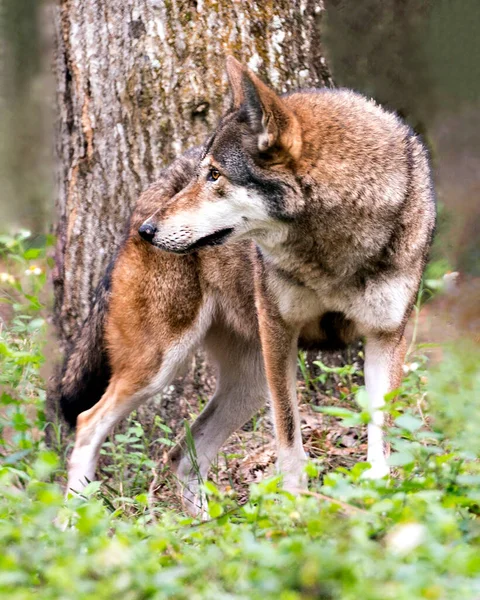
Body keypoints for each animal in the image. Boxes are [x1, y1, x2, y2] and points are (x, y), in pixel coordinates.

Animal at [60, 57, 436, 516]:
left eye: (215, 175)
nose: (149, 231)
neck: (332, 254)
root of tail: (148, 194)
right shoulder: (279, 332)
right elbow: (290, 442)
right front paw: (295, 510)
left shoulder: (386, 339)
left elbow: (380, 441)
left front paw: (379, 506)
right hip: (161, 365)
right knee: (87, 424)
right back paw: (74, 521)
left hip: (248, 385)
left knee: (183, 455)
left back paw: (203, 528)